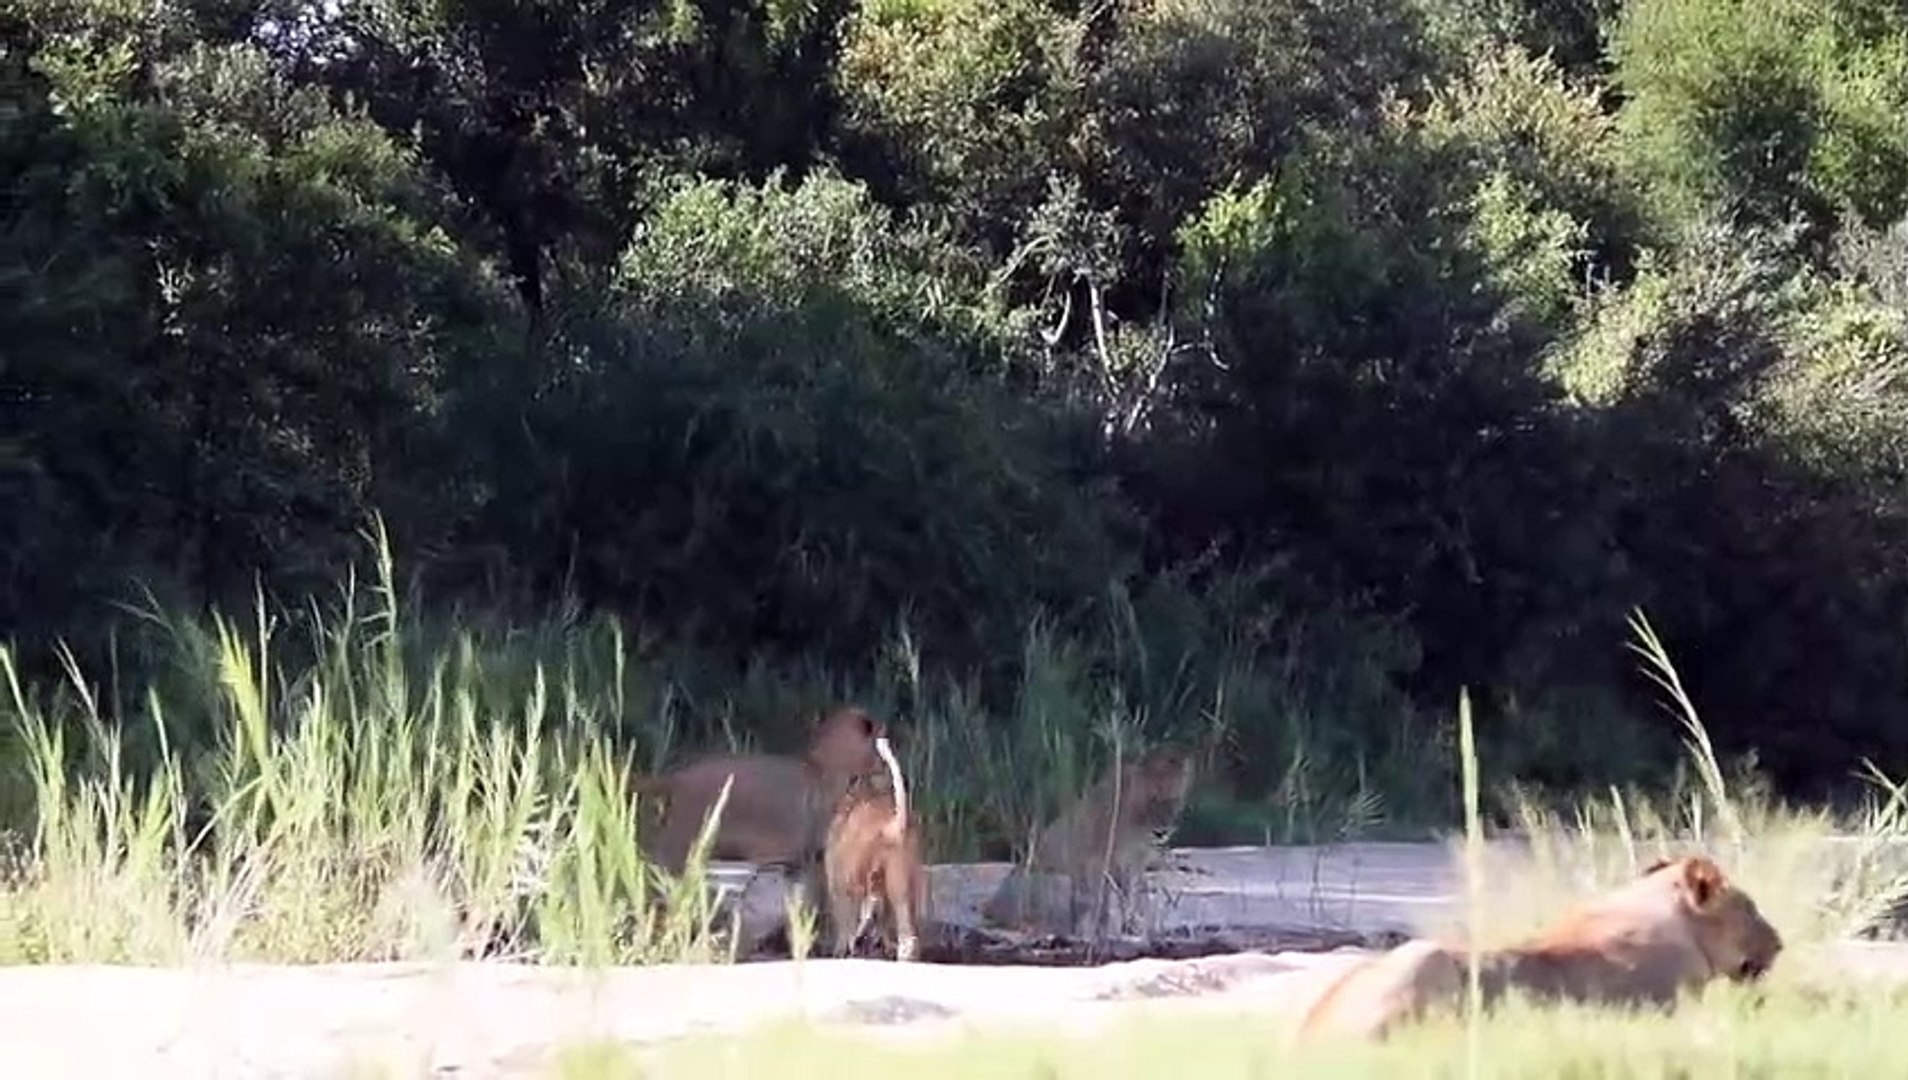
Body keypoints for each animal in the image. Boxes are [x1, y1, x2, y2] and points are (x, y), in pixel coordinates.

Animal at [819, 732, 929, 961]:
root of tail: (892, 826)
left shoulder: (838, 885)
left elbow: (845, 922)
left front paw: (842, 949)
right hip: (902, 885)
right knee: (906, 933)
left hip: (859, 879)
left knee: (866, 914)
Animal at [980, 744, 1194, 936]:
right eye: (1152, 800)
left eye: (1173, 802)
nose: (1162, 832)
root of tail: (992, 905)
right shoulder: (1098, 861)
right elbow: (1105, 900)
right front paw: (1105, 929)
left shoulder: (1133, 864)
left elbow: (1128, 896)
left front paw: (1130, 925)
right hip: (1062, 881)